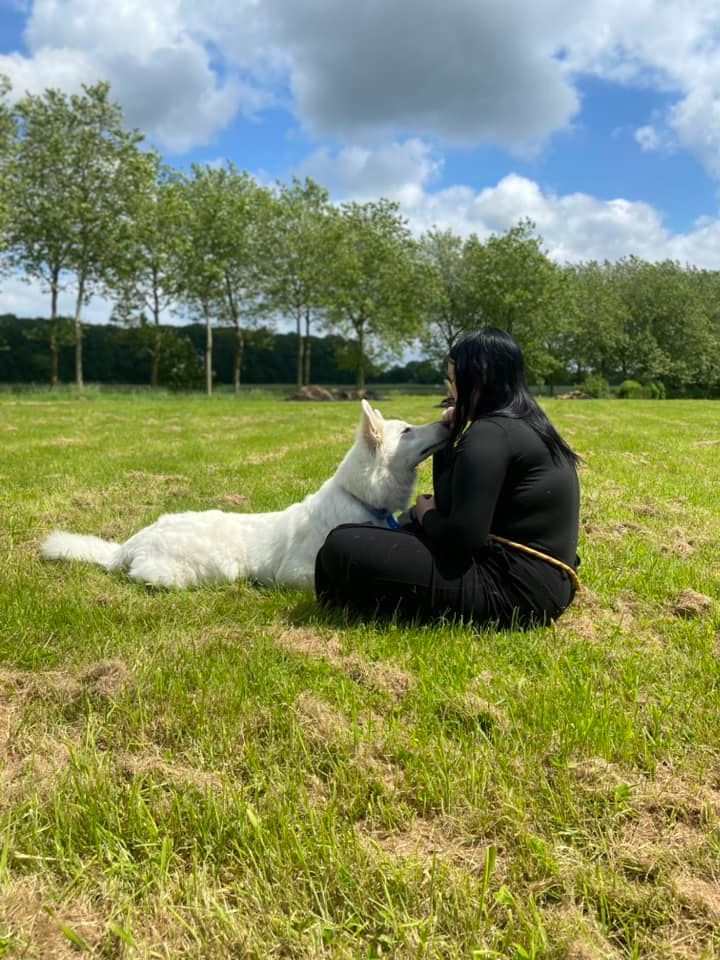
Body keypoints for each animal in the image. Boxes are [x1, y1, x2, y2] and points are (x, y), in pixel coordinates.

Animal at [40, 400, 450, 592]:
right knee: (143, 574)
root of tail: (131, 543)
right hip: (215, 566)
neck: (360, 497)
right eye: (407, 430)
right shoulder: (295, 573)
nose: (448, 420)